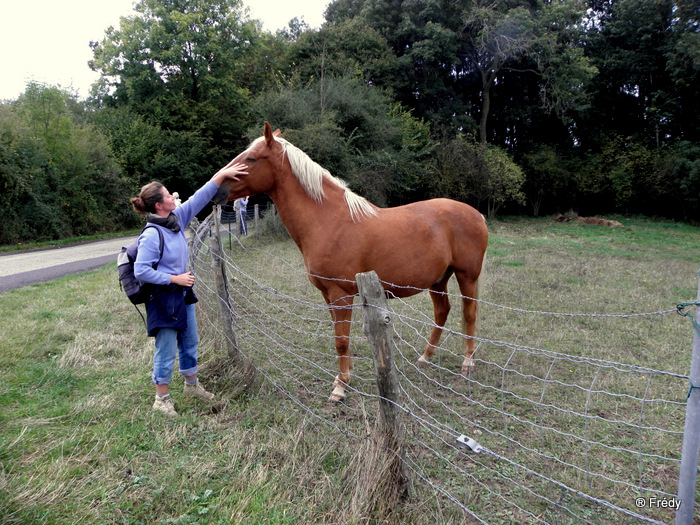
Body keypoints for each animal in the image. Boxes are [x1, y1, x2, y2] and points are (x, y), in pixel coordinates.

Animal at [217, 123, 486, 402]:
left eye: (251, 158)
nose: (217, 189)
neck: (329, 219)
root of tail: (476, 214)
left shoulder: (341, 294)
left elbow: (341, 340)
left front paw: (340, 387)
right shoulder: (328, 295)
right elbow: (340, 336)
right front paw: (344, 377)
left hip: (467, 276)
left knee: (469, 313)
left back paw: (467, 363)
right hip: (438, 280)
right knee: (442, 311)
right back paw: (425, 357)